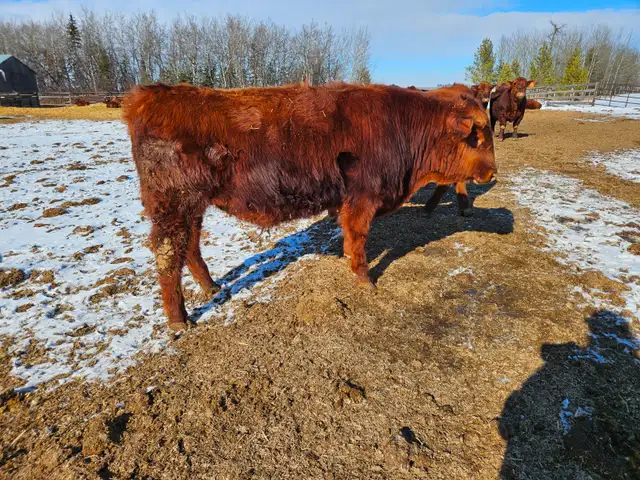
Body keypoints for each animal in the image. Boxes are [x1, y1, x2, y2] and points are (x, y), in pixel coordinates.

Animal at [123, 82, 497, 330]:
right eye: (478, 137)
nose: (493, 171)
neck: (404, 127)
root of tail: (152, 95)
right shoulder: (362, 198)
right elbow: (358, 238)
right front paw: (364, 280)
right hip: (172, 206)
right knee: (168, 253)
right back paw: (179, 321)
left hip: (193, 205)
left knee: (190, 245)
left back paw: (211, 287)